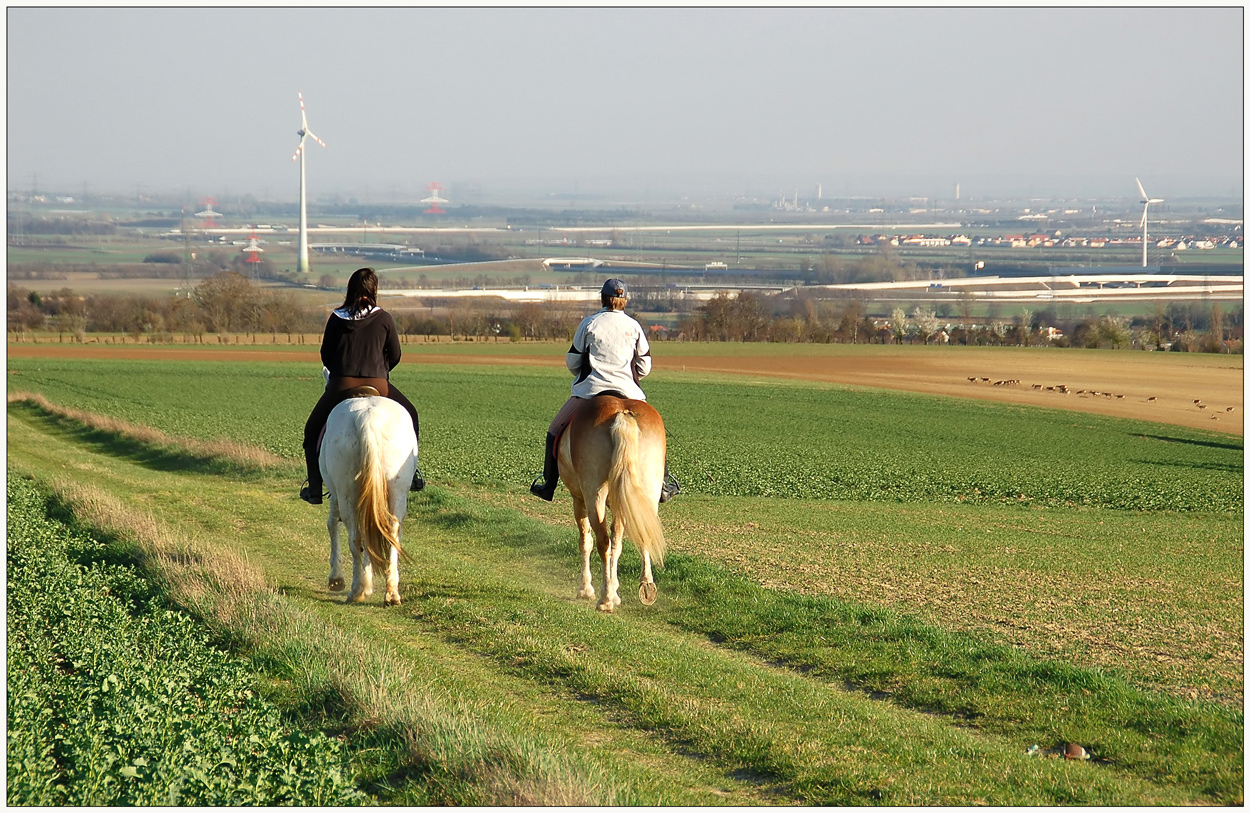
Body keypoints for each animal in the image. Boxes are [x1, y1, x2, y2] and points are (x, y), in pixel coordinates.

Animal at [320, 392, 417, 600]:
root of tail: (368, 416)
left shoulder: (335, 495)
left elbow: (333, 525)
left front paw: (336, 578)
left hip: (346, 494)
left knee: (355, 538)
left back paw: (357, 590)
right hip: (398, 493)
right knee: (392, 533)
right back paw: (391, 592)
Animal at [562, 392, 670, 607]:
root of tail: (622, 412)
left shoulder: (578, 499)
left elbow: (586, 541)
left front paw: (586, 589)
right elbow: (617, 543)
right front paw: (615, 589)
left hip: (594, 495)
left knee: (602, 540)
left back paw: (605, 600)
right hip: (647, 490)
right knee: (642, 532)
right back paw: (646, 586)